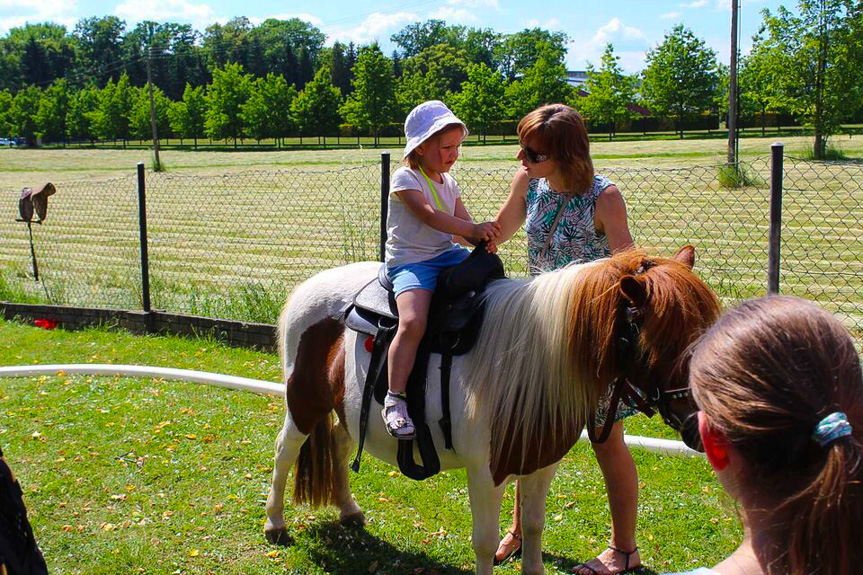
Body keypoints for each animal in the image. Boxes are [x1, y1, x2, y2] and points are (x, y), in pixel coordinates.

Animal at [264, 248, 724, 575]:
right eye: (663, 341)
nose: (703, 428)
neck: (533, 360)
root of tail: (310, 285)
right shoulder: (486, 473)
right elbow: (484, 543)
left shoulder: (541, 465)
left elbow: (534, 530)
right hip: (302, 403)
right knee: (285, 452)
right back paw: (275, 523)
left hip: (343, 408)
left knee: (339, 446)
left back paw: (348, 510)